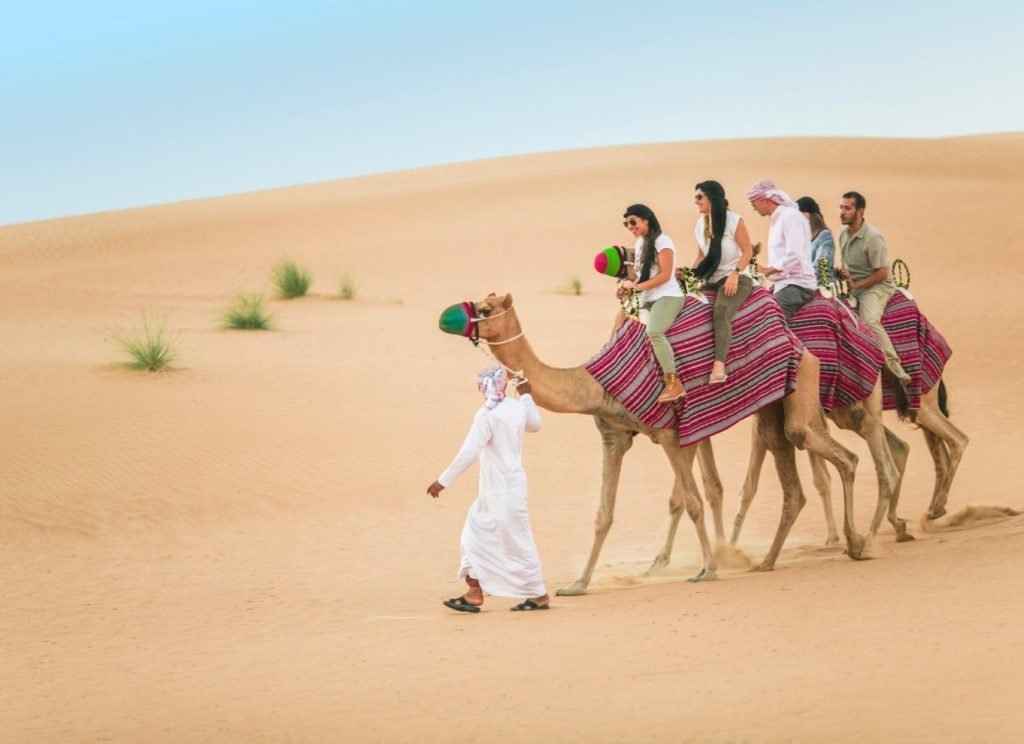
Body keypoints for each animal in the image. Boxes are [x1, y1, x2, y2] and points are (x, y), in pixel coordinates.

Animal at [459, 292, 864, 595]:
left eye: (485, 309)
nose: (456, 318)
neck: (593, 383)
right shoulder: (614, 436)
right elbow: (604, 514)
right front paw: (577, 584)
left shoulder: (670, 434)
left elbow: (693, 501)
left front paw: (708, 569)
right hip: (770, 406)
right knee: (796, 466)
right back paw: (781, 557)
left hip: (800, 385)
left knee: (830, 450)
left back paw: (856, 540)